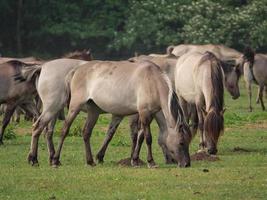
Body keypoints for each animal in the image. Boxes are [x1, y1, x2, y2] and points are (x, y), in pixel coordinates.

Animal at [43, 60, 193, 168]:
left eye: (188, 142)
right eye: (181, 142)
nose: (186, 164)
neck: (153, 82)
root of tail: (76, 70)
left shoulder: (149, 114)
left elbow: (141, 137)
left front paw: (135, 160)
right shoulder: (144, 113)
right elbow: (148, 138)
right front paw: (151, 162)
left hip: (93, 112)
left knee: (86, 133)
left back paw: (90, 161)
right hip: (75, 107)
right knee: (65, 130)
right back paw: (55, 160)